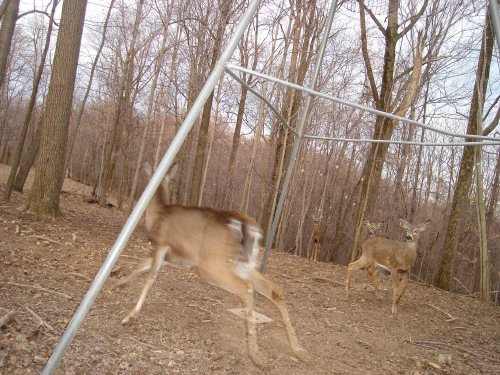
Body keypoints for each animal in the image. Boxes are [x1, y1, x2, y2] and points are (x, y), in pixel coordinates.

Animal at [113, 163, 306, 366]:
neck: (158, 215)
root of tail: (244, 225)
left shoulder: (161, 245)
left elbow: (150, 276)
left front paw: (129, 317)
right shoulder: (171, 257)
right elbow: (141, 266)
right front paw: (117, 284)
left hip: (211, 264)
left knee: (246, 288)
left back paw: (256, 354)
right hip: (242, 263)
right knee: (274, 288)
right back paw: (298, 350)